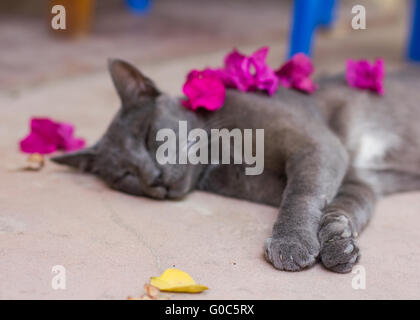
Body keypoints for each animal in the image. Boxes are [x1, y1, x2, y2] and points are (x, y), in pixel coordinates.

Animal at [51, 59, 420, 272]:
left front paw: (292, 244)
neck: (223, 153)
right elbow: (342, 205)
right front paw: (338, 243)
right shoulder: (358, 178)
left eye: (148, 135)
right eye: (124, 175)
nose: (153, 178)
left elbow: (300, 196)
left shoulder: (317, 145)